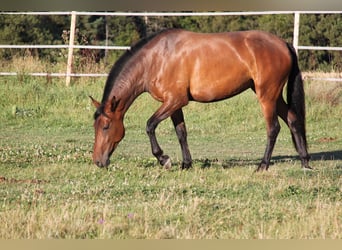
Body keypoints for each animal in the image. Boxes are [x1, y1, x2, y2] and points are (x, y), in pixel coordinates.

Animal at [89, 28, 312, 171]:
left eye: (106, 126)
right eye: (95, 127)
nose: (98, 161)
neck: (156, 59)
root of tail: (284, 44)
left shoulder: (174, 101)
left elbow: (150, 125)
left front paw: (164, 159)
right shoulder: (174, 104)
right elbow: (181, 133)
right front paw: (186, 164)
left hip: (267, 96)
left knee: (273, 128)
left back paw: (263, 165)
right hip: (273, 96)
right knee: (293, 120)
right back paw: (305, 162)